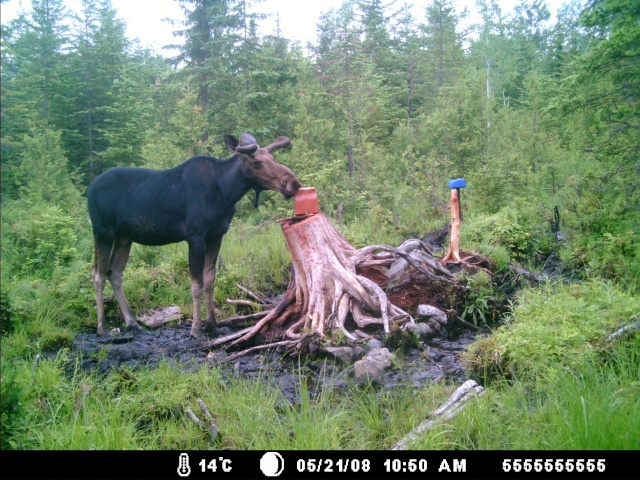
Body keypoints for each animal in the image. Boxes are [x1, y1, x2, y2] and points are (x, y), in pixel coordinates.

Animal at [87, 133, 302, 340]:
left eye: (272, 158)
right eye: (256, 162)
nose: (293, 183)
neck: (226, 193)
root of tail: (89, 188)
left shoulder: (216, 236)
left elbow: (210, 280)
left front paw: (213, 326)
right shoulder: (195, 236)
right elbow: (197, 284)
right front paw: (196, 329)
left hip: (124, 237)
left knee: (114, 272)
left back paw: (132, 323)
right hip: (103, 231)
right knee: (98, 273)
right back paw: (102, 328)